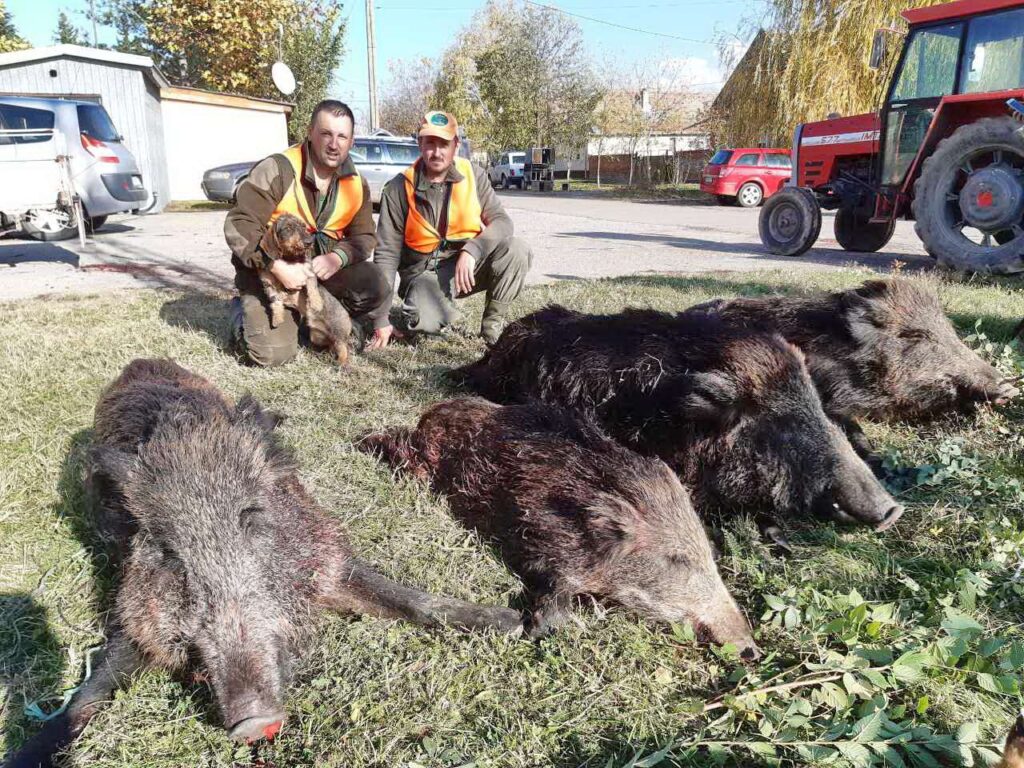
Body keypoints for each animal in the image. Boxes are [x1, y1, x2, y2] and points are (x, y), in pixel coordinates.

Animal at [7, 358, 521, 768]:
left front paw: (513, 623)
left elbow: (406, 598)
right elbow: (91, 691)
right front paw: (23, 755)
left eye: (251, 516)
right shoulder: (133, 614)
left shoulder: (326, 556)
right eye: (169, 552)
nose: (252, 722)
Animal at [359, 397, 759, 658]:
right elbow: (554, 589)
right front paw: (534, 628)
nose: (751, 649)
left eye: (709, 555)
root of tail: (434, 410)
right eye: (677, 560)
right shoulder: (538, 533)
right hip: (423, 456)